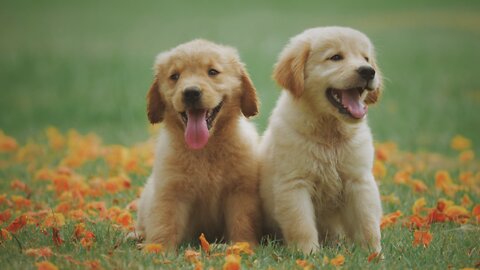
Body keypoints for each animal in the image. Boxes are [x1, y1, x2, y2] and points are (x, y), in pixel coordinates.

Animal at [137, 39, 260, 249]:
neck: (205, 149)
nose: (191, 93)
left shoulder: (240, 191)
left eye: (212, 72)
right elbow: (164, 222)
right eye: (175, 76)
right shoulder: (170, 190)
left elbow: (242, 222)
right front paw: (157, 249)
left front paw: (243, 246)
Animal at [260, 26, 384, 254]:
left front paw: (373, 254)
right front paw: (307, 254)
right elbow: (301, 224)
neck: (330, 134)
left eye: (366, 58)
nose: (368, 71)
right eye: (335, 57)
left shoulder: (359, 180)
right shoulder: (294, 184)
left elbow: (367, 222)